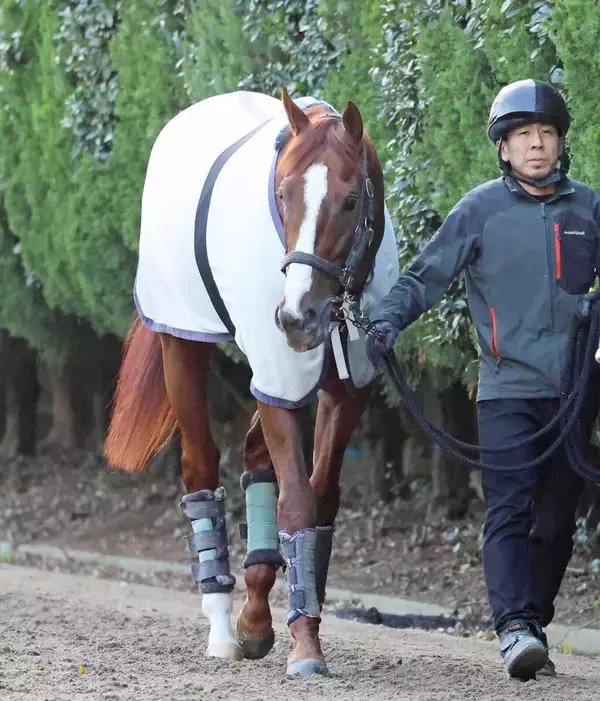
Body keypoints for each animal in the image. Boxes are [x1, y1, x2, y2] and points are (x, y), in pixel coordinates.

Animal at [104, 89, 398, 677]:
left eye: (351, 200)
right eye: (283, 194)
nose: (297, 317)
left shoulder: (343, 392)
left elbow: (320, 501)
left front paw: (295, 623)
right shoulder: (281, 375)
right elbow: (299, 503)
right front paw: (305, 647)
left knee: (255, 458)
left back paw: (256, 613)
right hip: (185, 347)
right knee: (201, 467)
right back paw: (222, 626)